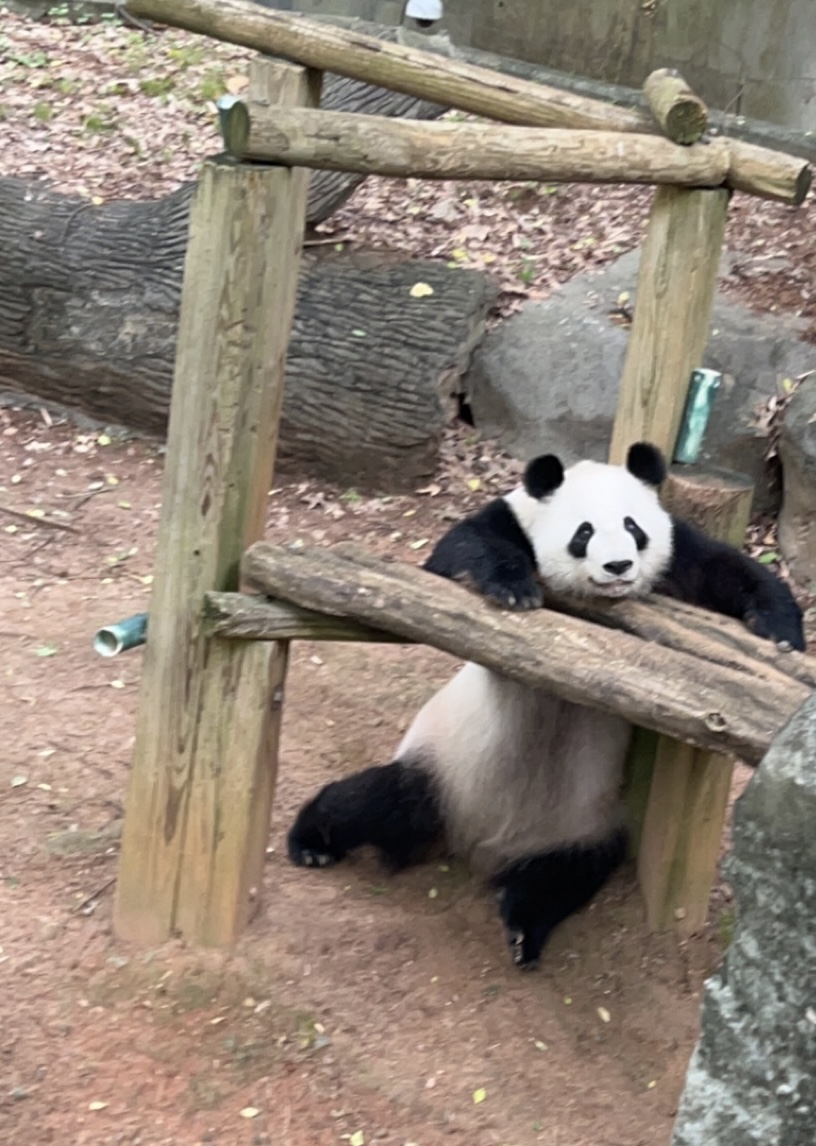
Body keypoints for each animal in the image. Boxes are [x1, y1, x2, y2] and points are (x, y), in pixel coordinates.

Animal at [285, 440, 802, 967]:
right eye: (584, 532)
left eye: (633, 528)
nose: (618, 568)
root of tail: (477, 846)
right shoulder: (509, 521)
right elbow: (457, 554)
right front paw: (513, 588)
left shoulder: (676, 559)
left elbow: (725, 569)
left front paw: (780, 628)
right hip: (441, 770)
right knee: (373, 800)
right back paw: (311, 841)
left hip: (583, 826)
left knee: (560, 878)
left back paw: (523, 931)